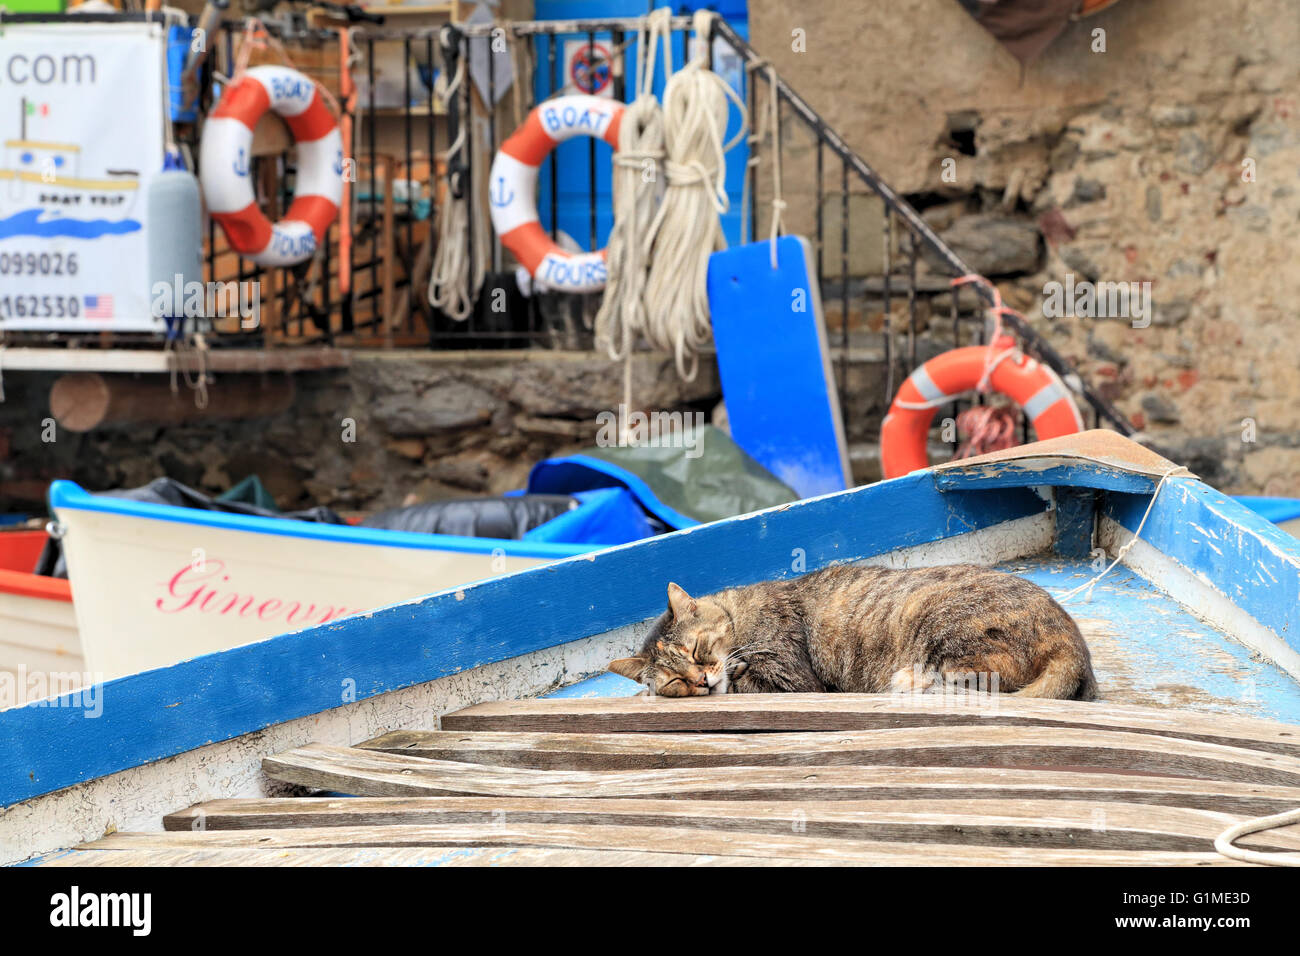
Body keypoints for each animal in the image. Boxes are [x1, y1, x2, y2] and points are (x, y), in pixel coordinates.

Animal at [608, 564, 1097, 697]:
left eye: (696, 650)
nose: (700, 681)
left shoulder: (792, 679)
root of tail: (1071, 640)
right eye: (674, 681)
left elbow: (745, 682)